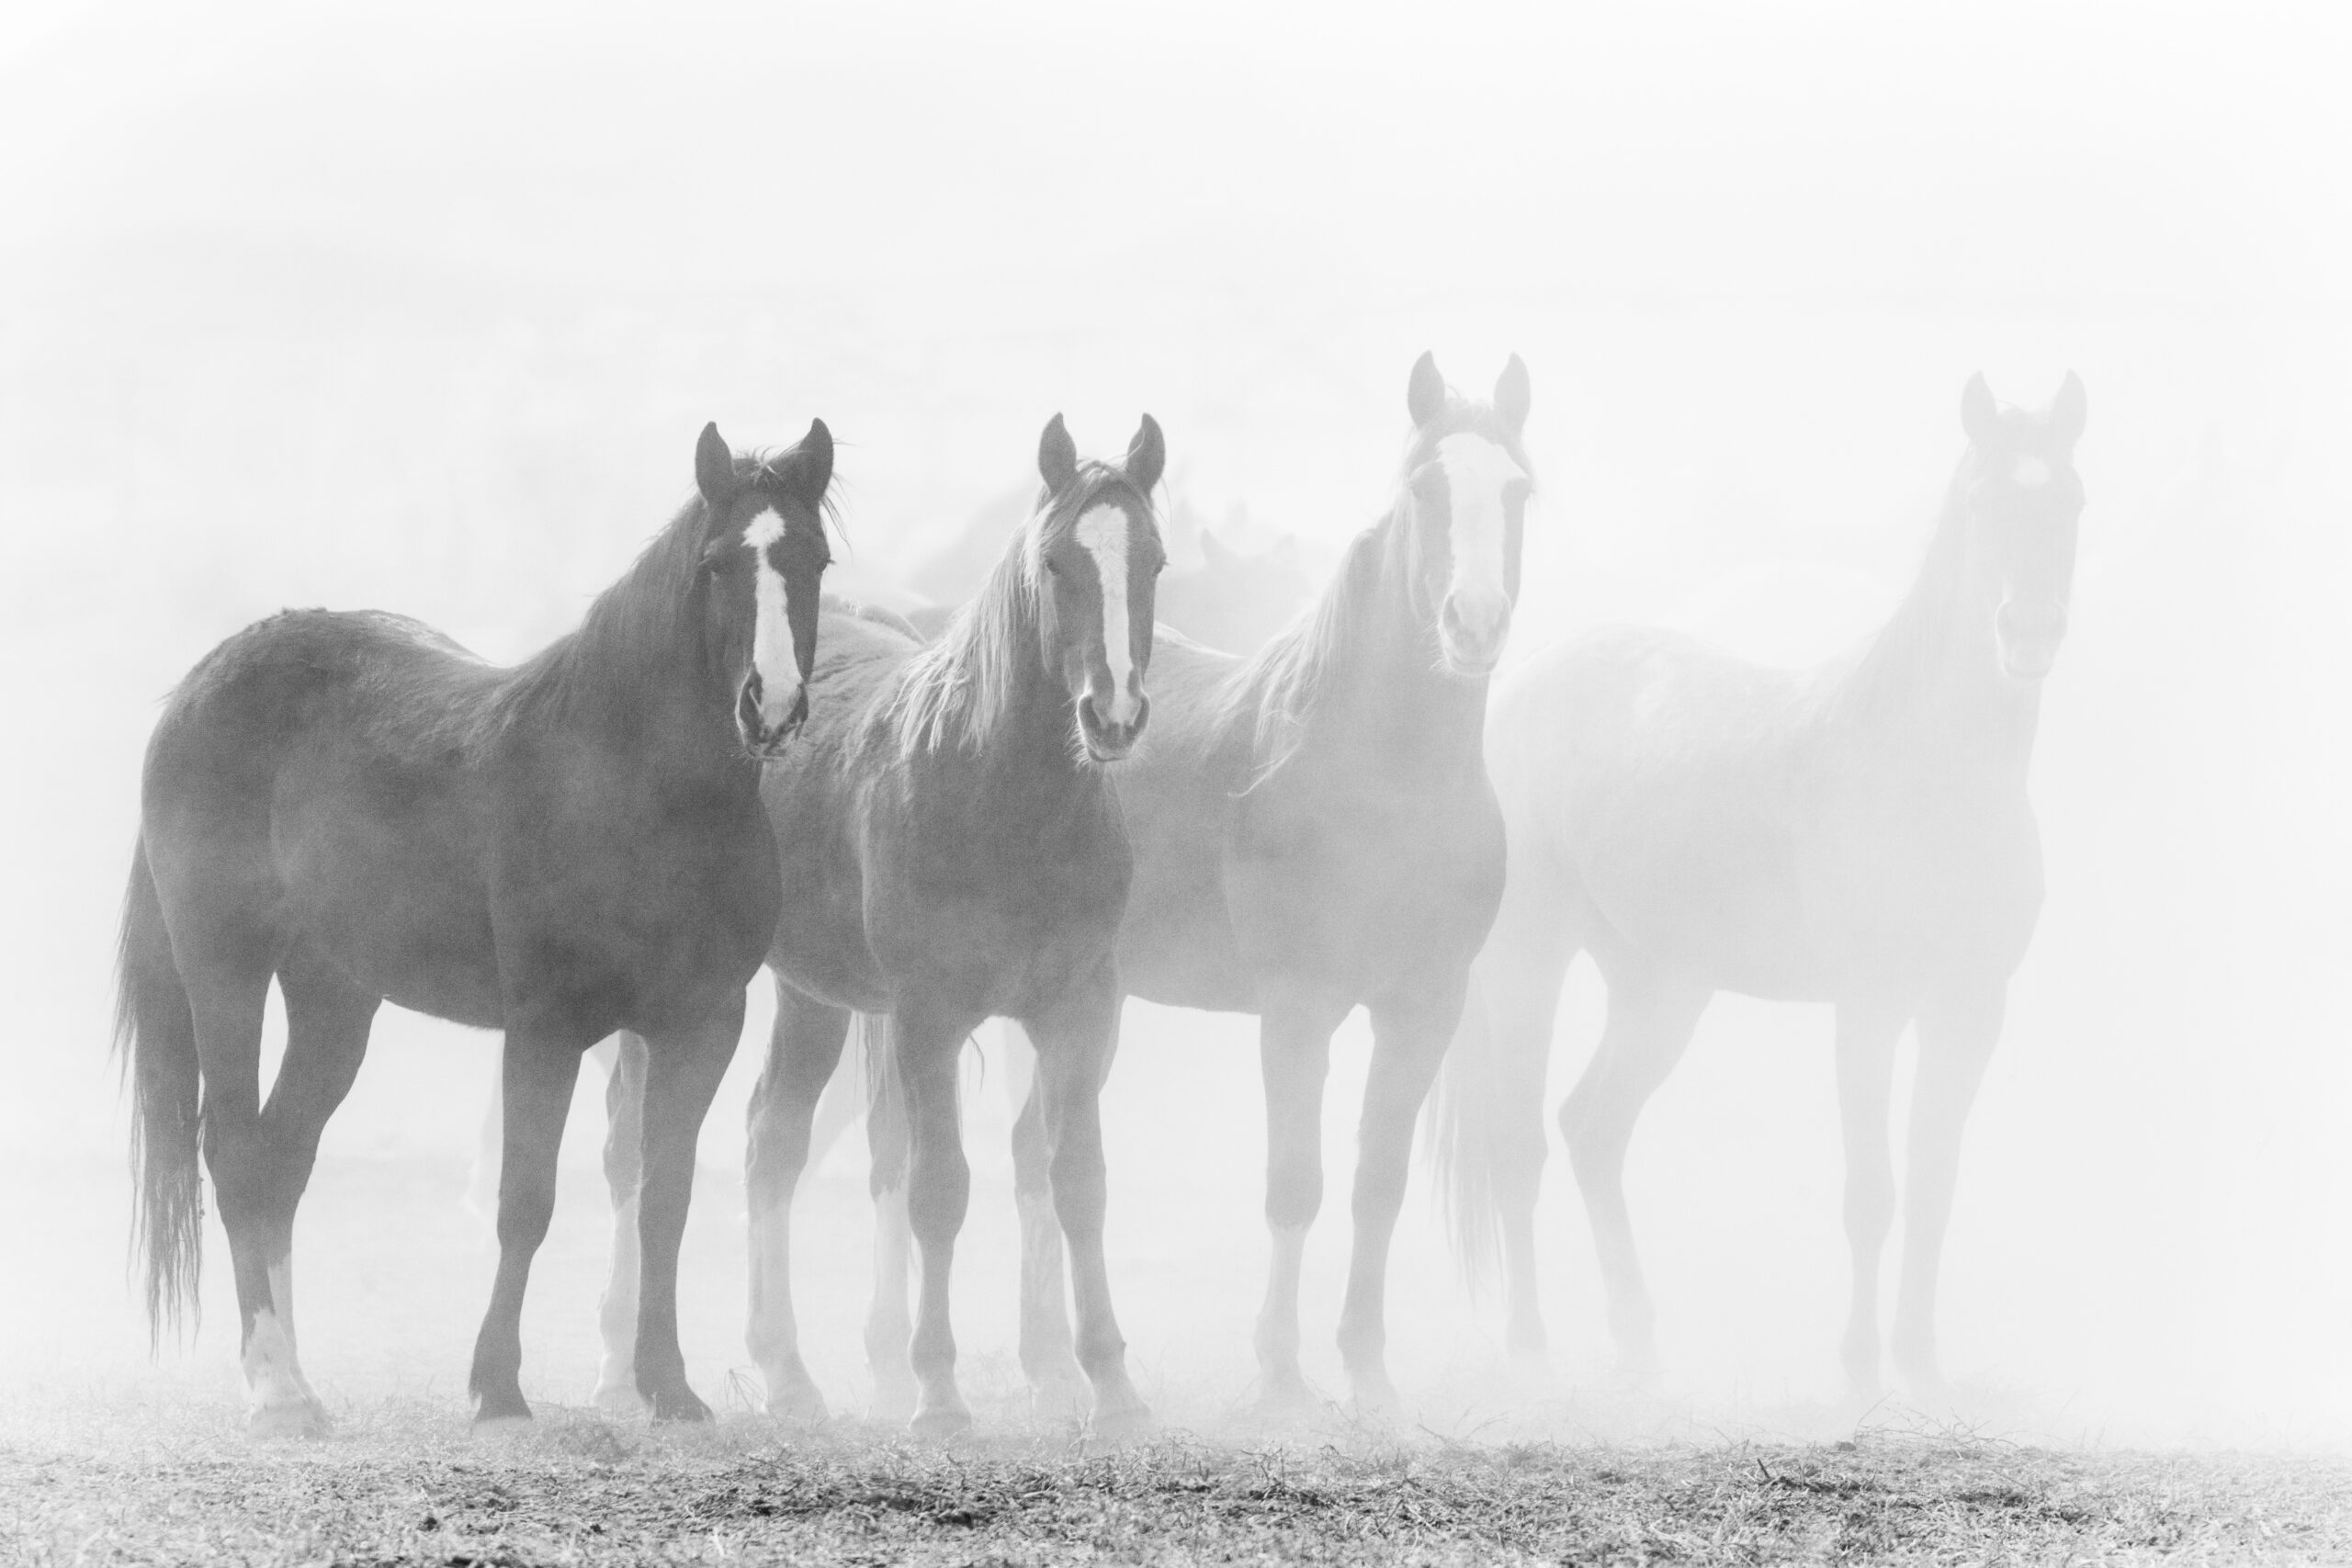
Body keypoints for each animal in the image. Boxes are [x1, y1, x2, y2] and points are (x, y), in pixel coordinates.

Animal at [112, 419, 836, 1433]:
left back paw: (295, 1374)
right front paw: (497, 1386)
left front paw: (669, 1387)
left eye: (813, 559)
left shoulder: (702, 1027)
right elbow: (525, 1201)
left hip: (334, 998)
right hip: (225, 970)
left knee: (281, 1160)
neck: (632, 786)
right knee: (236, 1153)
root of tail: (198, 687)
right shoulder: (545, 1028)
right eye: (718, 563)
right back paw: (273, 1385)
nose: (769, 706)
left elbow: (666, 1203)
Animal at [1426, 372, 2086, 1397]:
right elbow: (1871, 1194)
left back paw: (1640, 1342)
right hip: (1528, 962)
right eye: (1982, 503)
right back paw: (1532, 1348)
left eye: (2072, 501)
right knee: (1519, 1142)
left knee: (1592, 1129)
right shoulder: (1870, 1007)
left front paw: (1919, 1363)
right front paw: (1859, 1369)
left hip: (1661, 989)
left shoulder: (1971, 1009)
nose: (2027, 633)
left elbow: (1933, 1186)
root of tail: (1514, 691)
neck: (1930, 770)